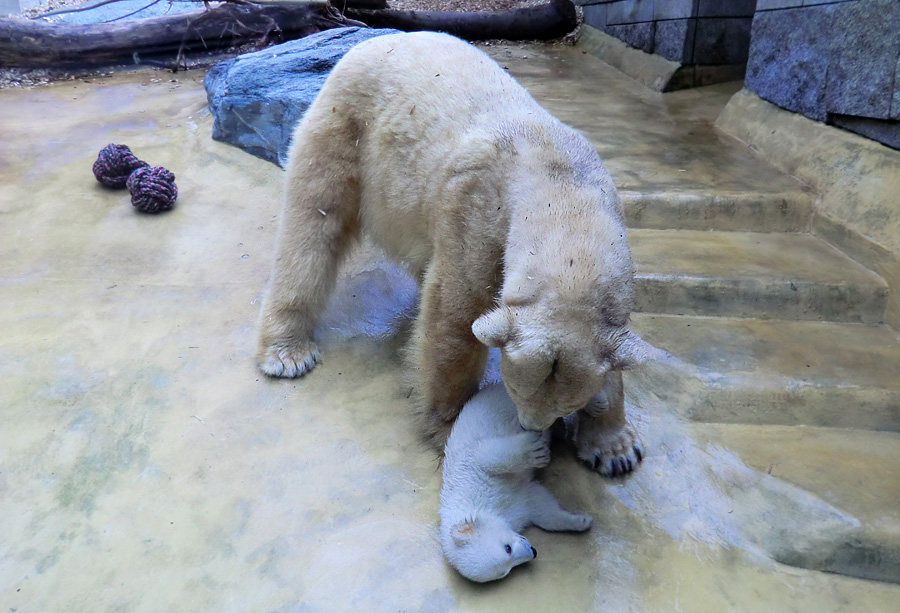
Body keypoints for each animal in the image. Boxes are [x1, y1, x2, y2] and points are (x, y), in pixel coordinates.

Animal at [258, 31, 648, 476]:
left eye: (567, 401)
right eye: (517, 388)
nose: (533, 427)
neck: (561, 187)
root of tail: (374, 41)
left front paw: (616, 449)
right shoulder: (477, 213)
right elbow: (455, 320)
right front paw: (454, 429)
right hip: (345, 126)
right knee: (314, 223)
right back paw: (288, 352)